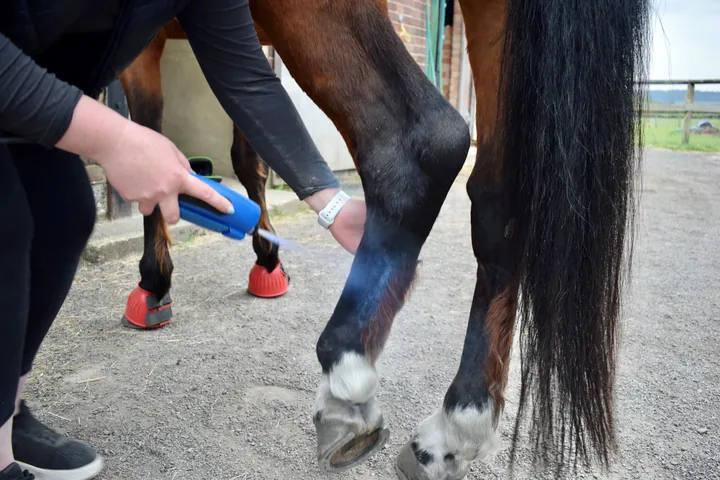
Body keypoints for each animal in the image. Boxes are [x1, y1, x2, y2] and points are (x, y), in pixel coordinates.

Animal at [118, 0, 651, 478]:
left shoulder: (148, 45)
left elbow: (148, 139)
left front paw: (155, 283)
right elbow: (249, 146)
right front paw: (267, 262)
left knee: (414, 144)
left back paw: (346, 382)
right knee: (501, 203)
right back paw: (457, 428)